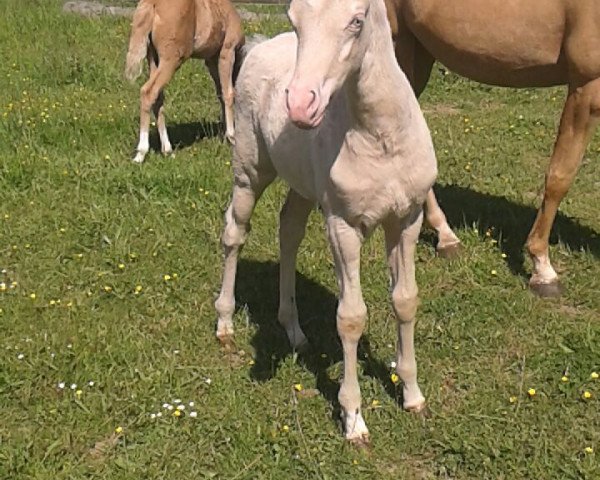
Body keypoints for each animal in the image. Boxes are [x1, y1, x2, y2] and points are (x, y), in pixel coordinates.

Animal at [124, 0, 244, 163]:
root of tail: (152, 3)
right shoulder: (227, 52)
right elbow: (228, 94)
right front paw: (231, 137)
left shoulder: (211, 60)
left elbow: (220, 93)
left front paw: (224, 133)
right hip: (172, 59)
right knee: (148, 92)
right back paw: (141, 153)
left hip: (154, 59)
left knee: (158, 98)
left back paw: (167, 150)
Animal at [216, 0, 436, 444]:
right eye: (294, 18)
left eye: (357, 20)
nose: (300, 105)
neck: (382, 138)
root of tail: (261, 46)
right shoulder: (343, 225)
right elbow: (350, 317)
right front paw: (353, 418)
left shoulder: (407, 218)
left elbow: (405, 300)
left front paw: (412, 393)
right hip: (249, 171)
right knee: (234, 231)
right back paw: (225, 321)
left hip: (302, 185)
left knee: (288, 231)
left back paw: (294, 330)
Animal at [384, 0, 600, 296]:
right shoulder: (586, 87)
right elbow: (560, 176)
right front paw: (542, 271)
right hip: (396, 45)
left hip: (419, 52)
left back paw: (447, 237)